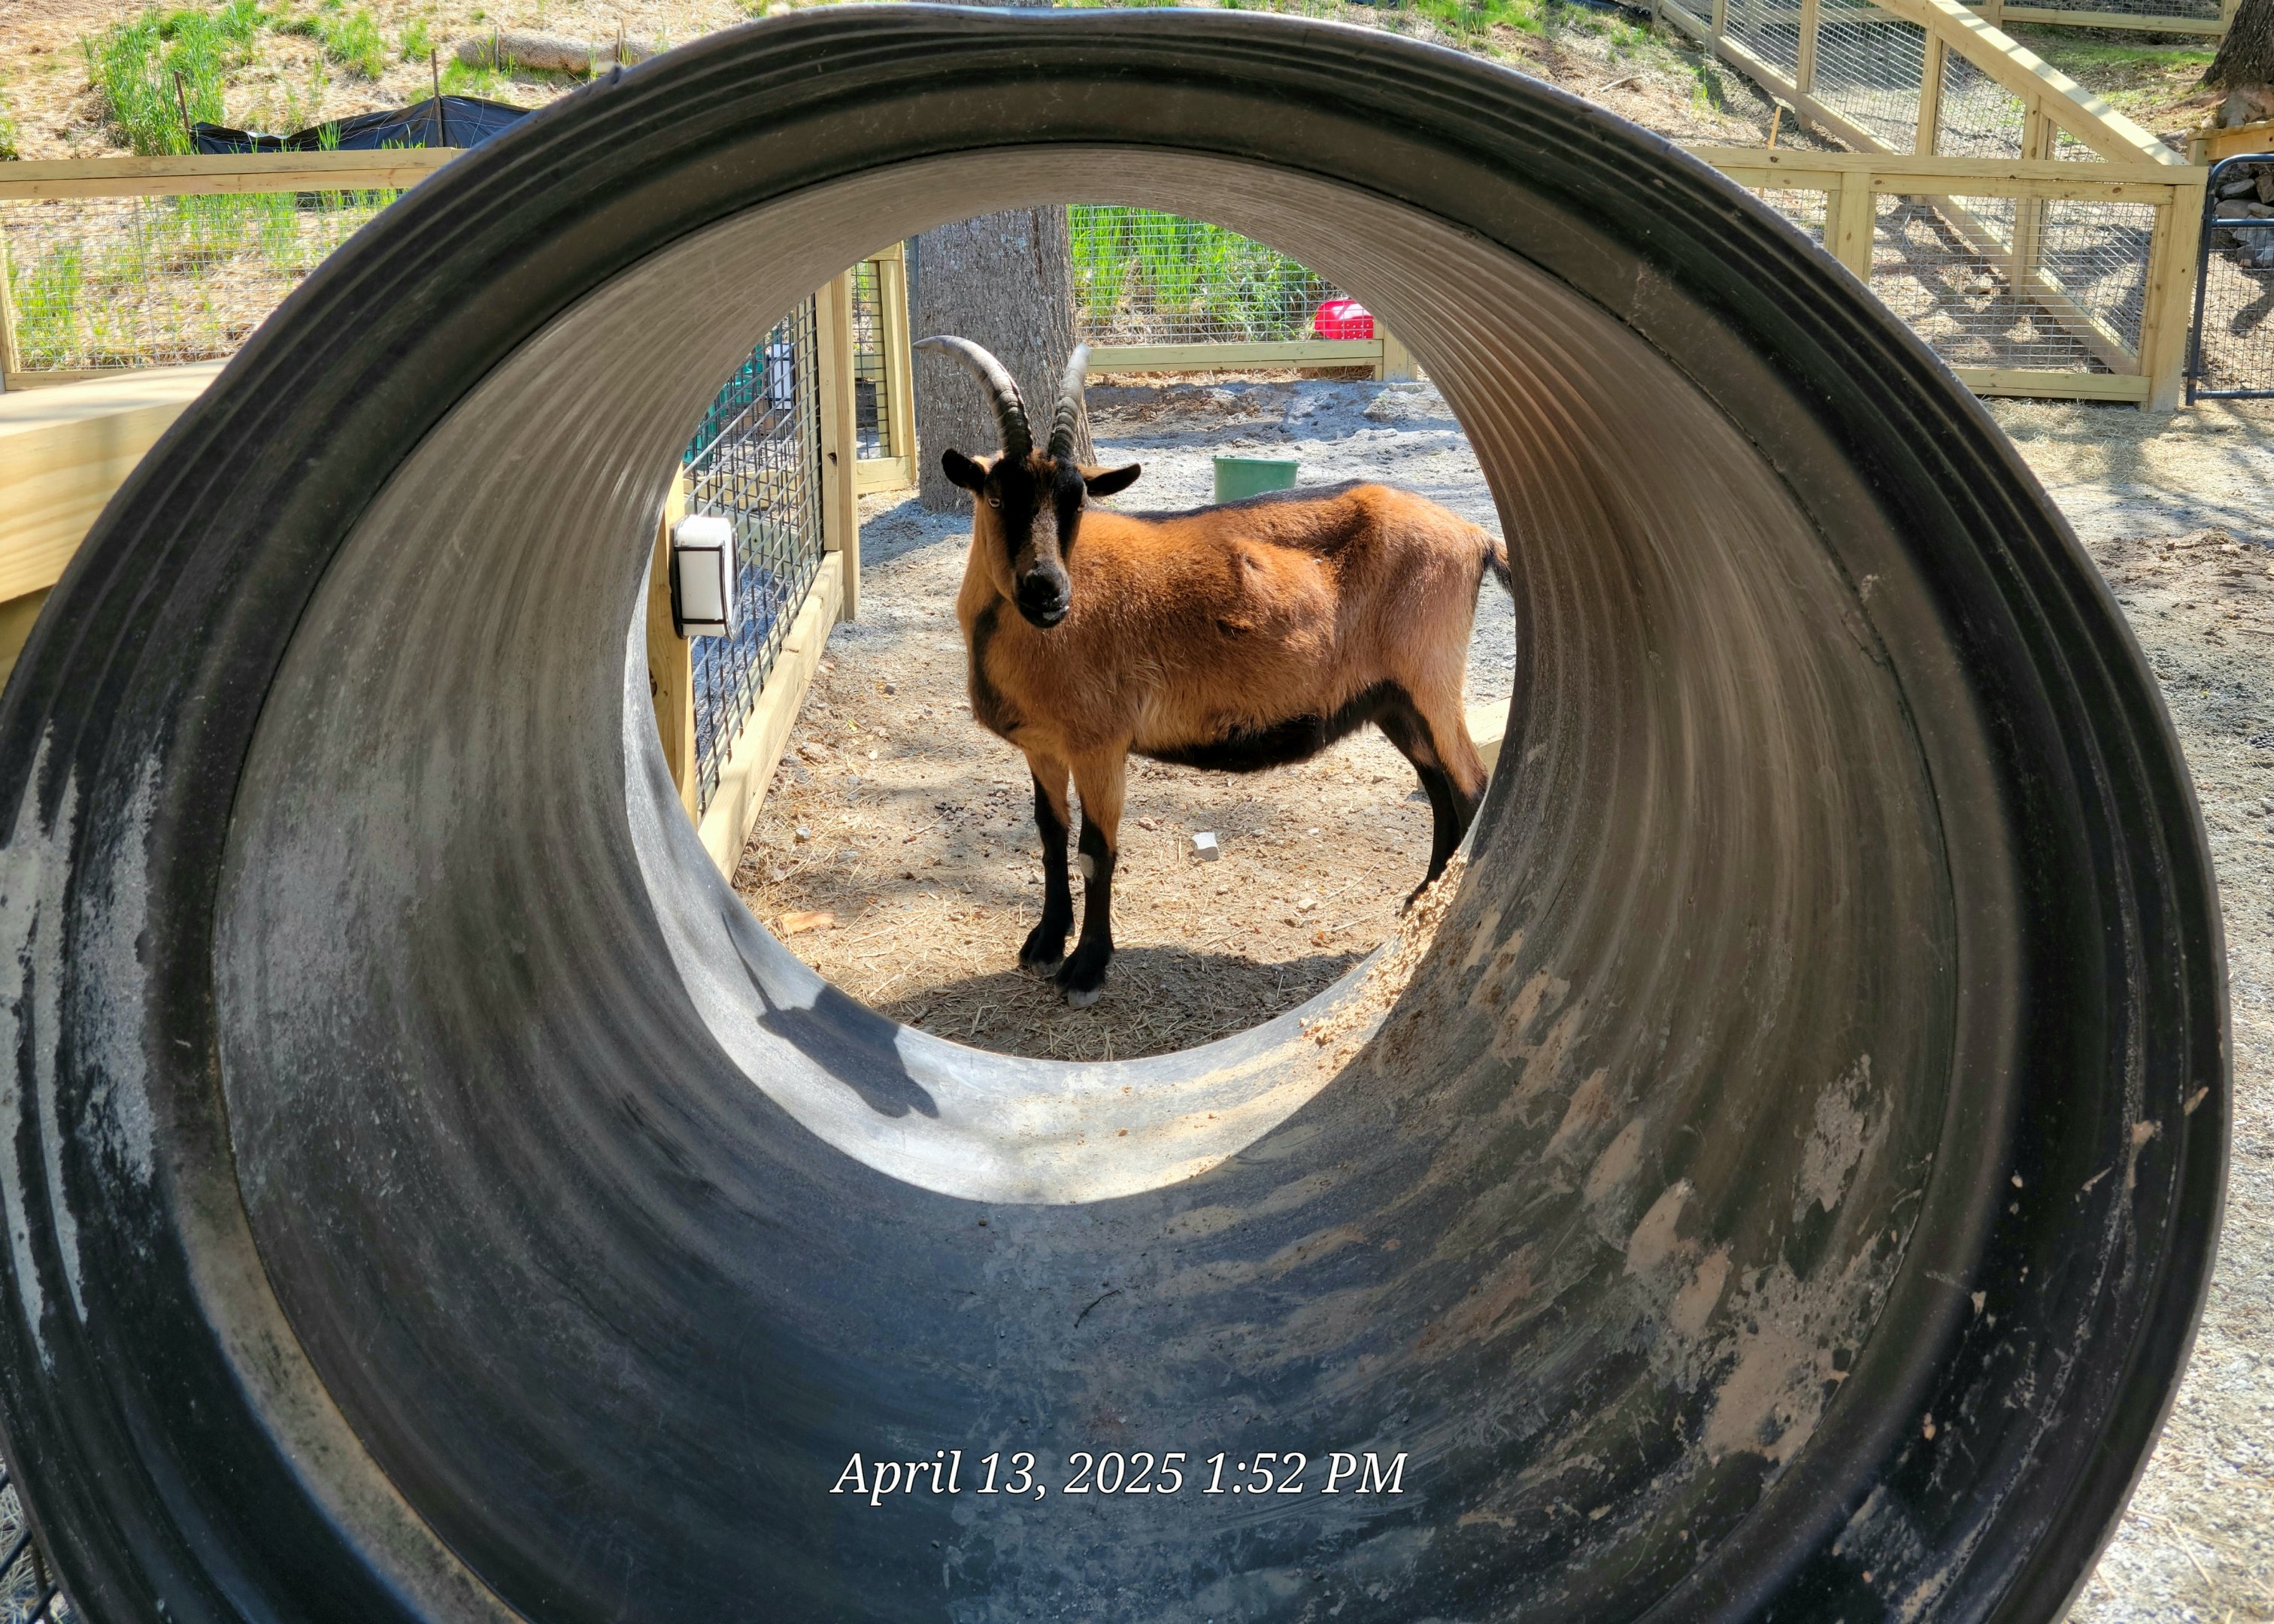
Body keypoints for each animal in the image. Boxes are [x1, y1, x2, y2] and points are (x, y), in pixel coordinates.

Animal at [915, 335, 1512, 1007]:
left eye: (1077, 504)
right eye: (995, 497)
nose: (1048, 591)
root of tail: (1475, 536)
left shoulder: (1101, 743)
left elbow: (1096, 850)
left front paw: (1086, 970)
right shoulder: (1044, 746)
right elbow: (1049, 834)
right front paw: (1043, 944)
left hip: (1430, 677)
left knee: (1469, 786)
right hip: (1393, 699)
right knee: (1439, 789)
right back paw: (1419, 903)